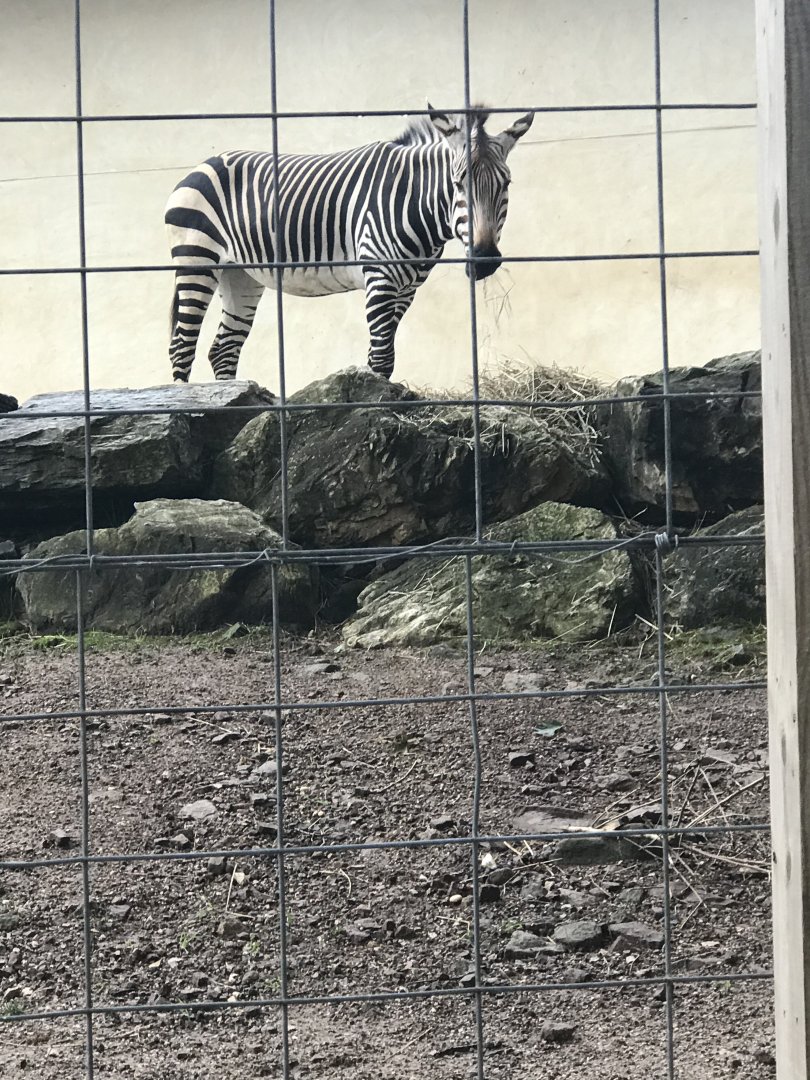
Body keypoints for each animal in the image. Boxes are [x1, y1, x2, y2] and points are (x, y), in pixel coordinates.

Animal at [165, 106, 534, 383]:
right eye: (457, 183)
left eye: (506, 184)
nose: (485, 261)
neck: (414, 200)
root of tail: (203, 165)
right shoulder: (380, 275)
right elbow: (383, 357)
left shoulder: (407, 287)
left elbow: (377, 357)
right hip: (197, 260)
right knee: (182, 346)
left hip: (241, 274)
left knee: (223, 349)